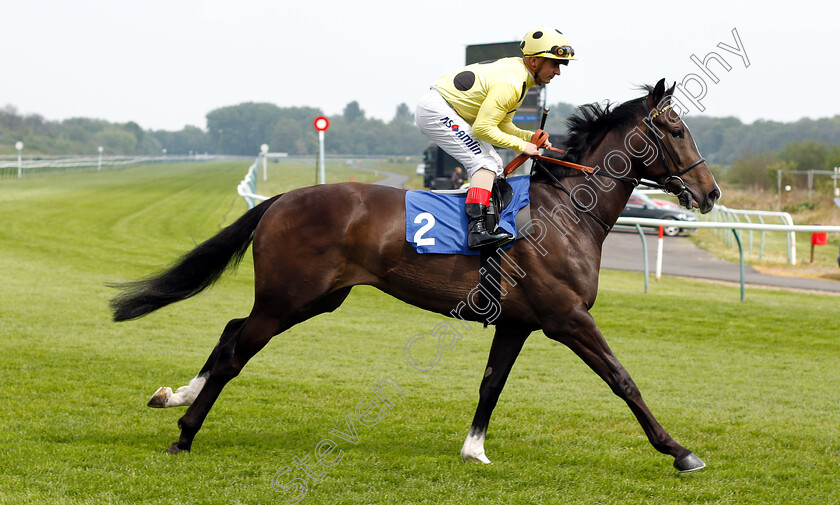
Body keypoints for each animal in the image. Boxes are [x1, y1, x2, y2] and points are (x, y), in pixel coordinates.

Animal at [108, 77, 720, 470]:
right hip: (289, 297)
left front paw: (474, 450)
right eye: (676, 129)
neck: (570, 211)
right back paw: (185, 434)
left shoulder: (517, 321)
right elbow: (622, 379)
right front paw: (679, 451)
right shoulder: (566, 317)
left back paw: (175, 397)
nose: (711, 192)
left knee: (231, 329)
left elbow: (492, 383)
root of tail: (283, 198)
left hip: (311, 299)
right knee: (236, 351)